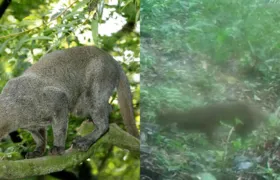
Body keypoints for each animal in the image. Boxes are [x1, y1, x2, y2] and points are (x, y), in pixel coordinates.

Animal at [0, 45, 139, 158]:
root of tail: (113, 59)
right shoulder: (34, 126)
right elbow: (40, 139)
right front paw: (38, 152)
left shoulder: (58, 99)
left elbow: (60, 130)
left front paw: (58, 148)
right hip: (82, 108)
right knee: (109, 108)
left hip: (95, 92)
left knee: (104, 124)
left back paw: (85, 141)